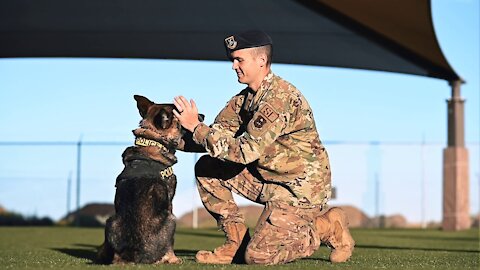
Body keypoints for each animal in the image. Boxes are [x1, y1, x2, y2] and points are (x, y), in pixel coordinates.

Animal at [97, 94, 188, 264]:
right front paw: (174, 258)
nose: (202, 116)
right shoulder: (170, 200)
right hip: (171, 219)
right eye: (181, 113)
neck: (154, 142)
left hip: (110, 221)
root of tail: (131, 253)